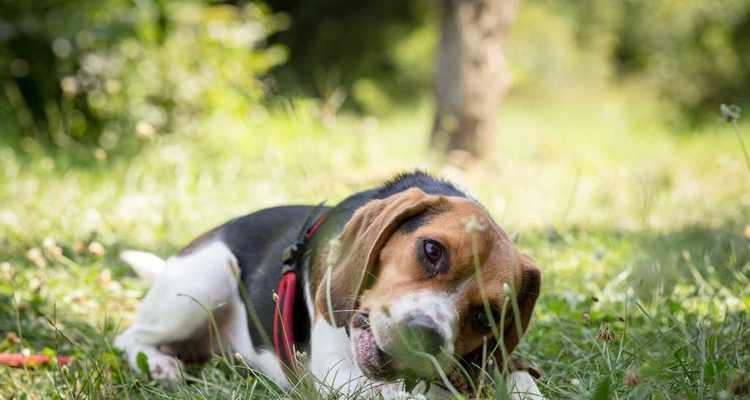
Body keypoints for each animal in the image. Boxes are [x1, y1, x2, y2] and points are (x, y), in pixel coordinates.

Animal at [114, 170, 544, 398]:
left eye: (487, 318)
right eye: (431, 250)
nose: (424, 336)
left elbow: (521, 378)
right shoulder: (333, 368)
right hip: (204, 282)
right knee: (129, 337)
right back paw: (159, 364)